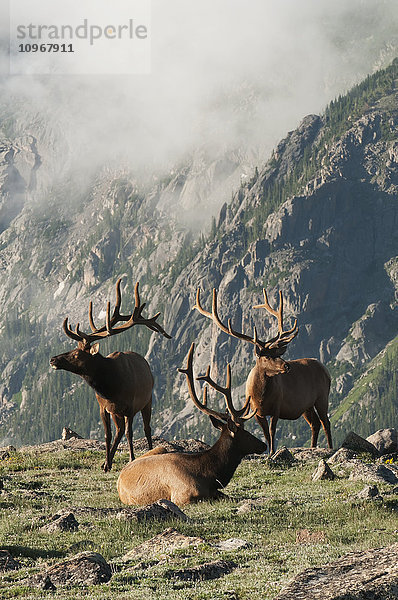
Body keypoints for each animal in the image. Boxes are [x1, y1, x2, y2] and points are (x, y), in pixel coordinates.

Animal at [49, 278, 170, 472]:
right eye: (73, 348)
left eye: (76, 354)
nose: (53, 359)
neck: (110, 388)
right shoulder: (104, 407)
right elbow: (108, 435)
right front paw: (106, 463)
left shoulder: (130, 406)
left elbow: (129, 433)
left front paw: (131, 459)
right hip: (117, 412)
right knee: (119, 431)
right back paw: (108, 461)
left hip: (147, 400)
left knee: (146, 428)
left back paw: (150, 451)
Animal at [193, 288, 332, 454]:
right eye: (266, 357)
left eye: (277, 354)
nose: (287, 366)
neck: (261, 396)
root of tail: (326, 370)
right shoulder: (257, 412)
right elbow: (266, 434)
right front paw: (270, 452)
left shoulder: (277, 406)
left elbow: (272, 431)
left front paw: (272, 452)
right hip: (306, 406)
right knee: (315, 423)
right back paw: (312, 447)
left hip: (322, 396)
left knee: (326, 422)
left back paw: (330, 447)